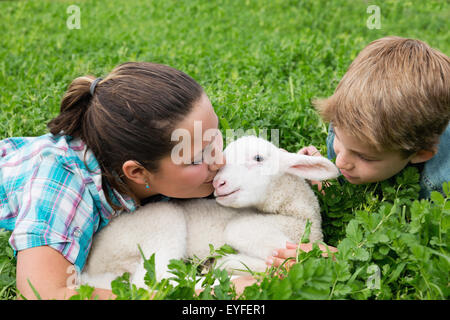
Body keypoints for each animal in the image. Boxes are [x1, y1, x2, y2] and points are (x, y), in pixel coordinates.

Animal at [80, 134, 338, 288]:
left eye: (258, 158)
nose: (218, 183)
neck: (299, 217)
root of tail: (93, 264)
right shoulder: (249, 227)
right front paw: (231, 263)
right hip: (162, 221)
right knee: (155, 283)